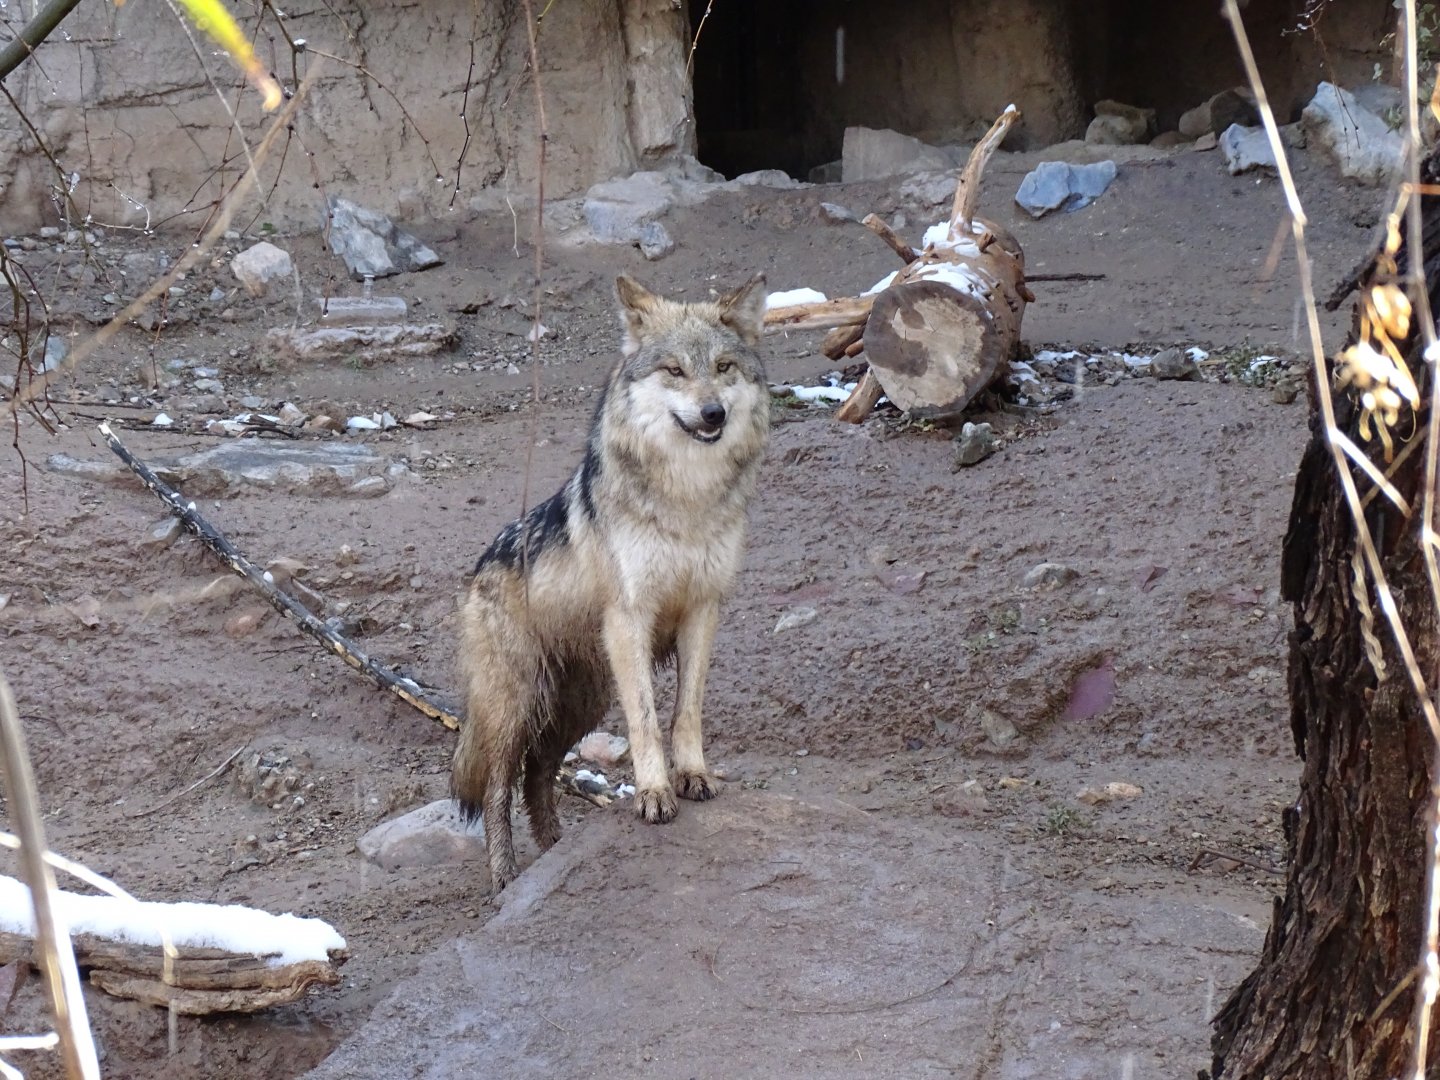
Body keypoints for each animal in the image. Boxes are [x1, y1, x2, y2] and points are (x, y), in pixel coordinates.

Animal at [452, 272, 771, 891]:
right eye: (674, 370)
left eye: (724, 367)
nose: (713, 414)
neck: (687, 502)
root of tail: (478, 571)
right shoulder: (631, 619)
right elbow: (646, 721)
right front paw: (653, 794)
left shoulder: (704, 610)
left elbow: (686, 711)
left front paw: (692, 776)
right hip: (516, 705)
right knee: (501, 787)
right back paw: (506, 878)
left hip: (581, 705)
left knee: (538, 774)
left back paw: (554, 853)